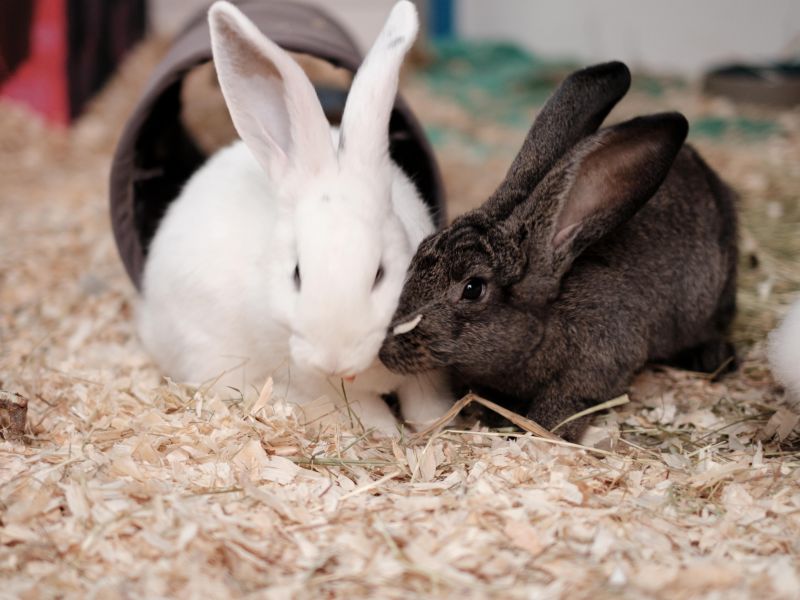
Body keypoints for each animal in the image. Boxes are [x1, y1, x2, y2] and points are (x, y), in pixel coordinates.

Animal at [137, 1, 454, 435]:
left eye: (380, 274)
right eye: (297, 275)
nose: (334, 359)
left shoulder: (427, 367)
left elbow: (425, 399)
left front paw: (434, 423)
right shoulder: (313, 375)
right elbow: (361, 406)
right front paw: (384, 431)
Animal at [379, 61, 739, 441]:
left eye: (473, 288)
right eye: (419, 251)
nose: (385, 347)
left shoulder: (596, 368)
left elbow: (562, 407)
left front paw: (540, 432)